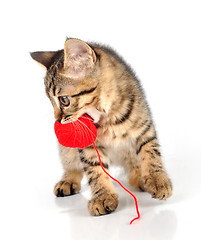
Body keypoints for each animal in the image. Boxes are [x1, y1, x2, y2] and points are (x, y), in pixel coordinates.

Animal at [30, 38, 172, 216]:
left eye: (64, 100)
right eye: (51, 101)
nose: (58, 120)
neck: (105, 117)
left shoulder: (144, 127)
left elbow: (151, 152)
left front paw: (158, 180)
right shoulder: (87, 145)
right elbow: (95, 171)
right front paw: (103, 197)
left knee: (133, 164)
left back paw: (140, 177)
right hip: (66, 148)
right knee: (71, 163)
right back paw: (68, 180)